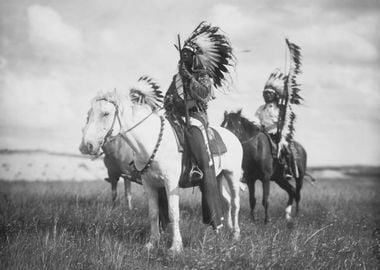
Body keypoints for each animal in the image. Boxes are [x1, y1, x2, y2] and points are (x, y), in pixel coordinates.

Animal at [80, 90, 243, 253]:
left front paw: (176, 246)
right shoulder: (149, 184)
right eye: (88, 114)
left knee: (235, 202)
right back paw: (224, 230)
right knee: (225, 200)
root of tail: (233, 136)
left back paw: (235, 234)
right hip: (218, 177)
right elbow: (153, 213)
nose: (86, 146)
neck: (151, 142)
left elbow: (173, 213)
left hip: (232, 175)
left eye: (106, 113)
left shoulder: (170, 183)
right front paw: (152, 242)